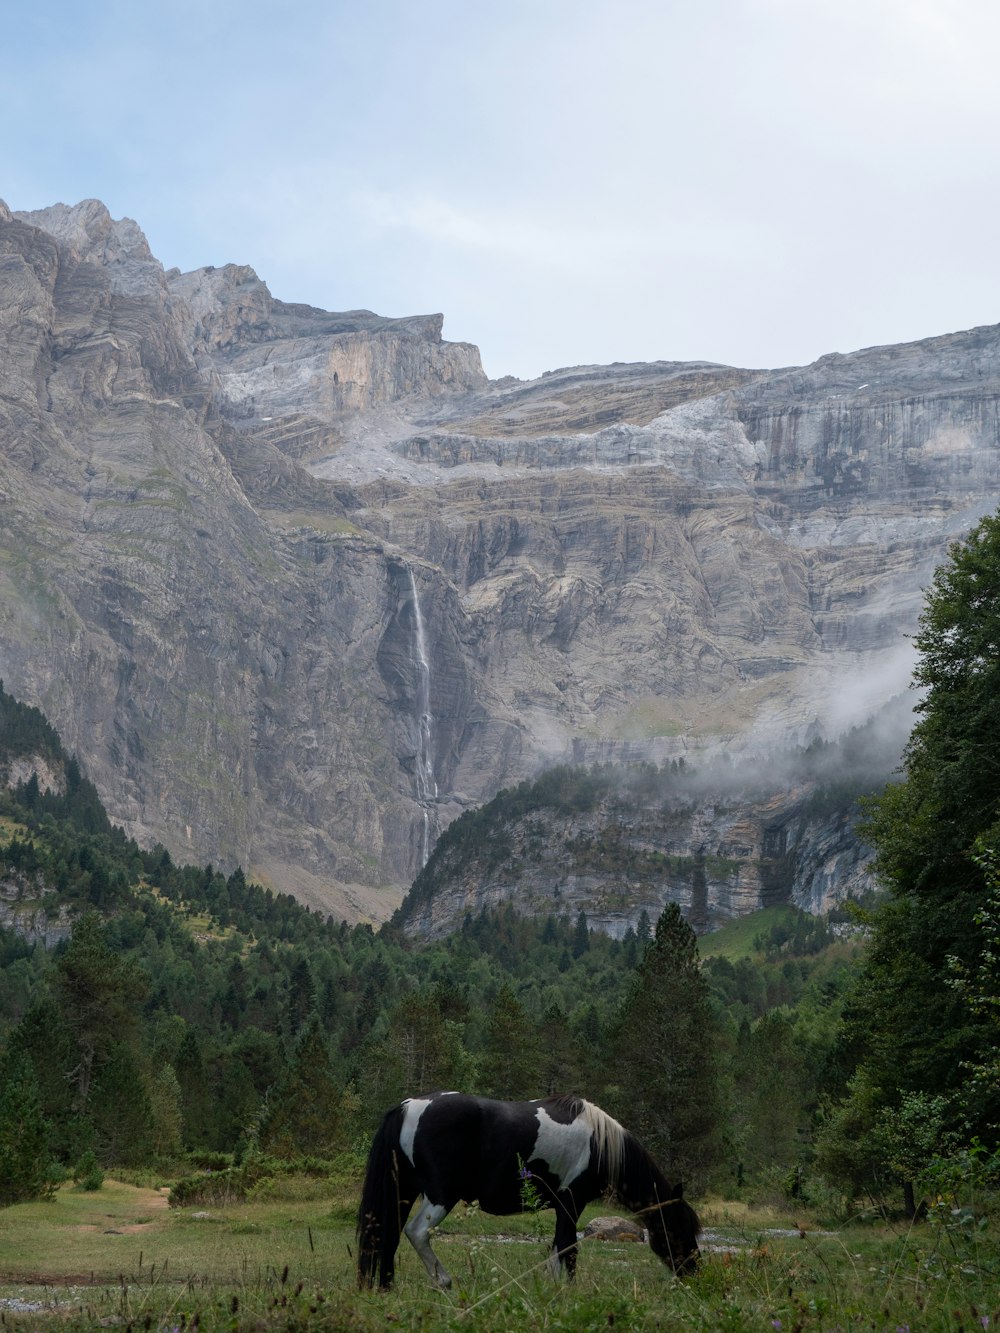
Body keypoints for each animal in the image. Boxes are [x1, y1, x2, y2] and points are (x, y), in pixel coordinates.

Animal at [357, 1093, 698, 1290]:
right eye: (677, 1229)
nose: (693, 1273)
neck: (600, 1143)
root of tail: (408, 1108)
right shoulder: (571, 1203)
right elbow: (568, 1249)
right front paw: (567, 1292)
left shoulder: (564, 1207)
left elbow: (557, 1249)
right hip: (441, 1195)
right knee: (417, 1232)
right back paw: (444, 1281)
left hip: (404, 1193)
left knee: (388, 1235)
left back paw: (386, 1287)